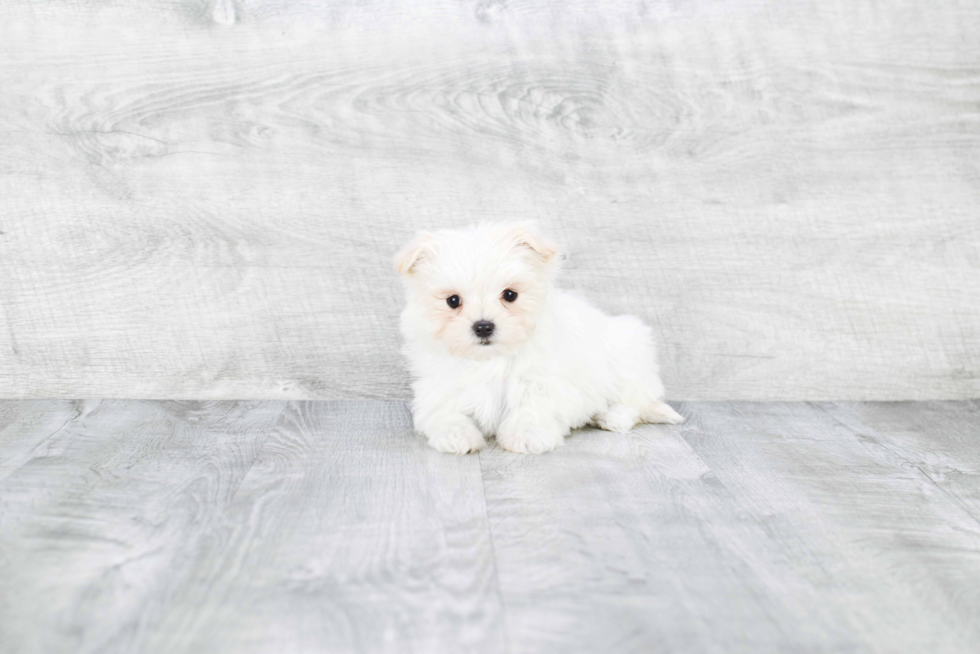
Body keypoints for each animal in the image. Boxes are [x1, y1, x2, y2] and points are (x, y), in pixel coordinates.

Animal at [390, 224, 680, 456]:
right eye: (453, 301)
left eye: (510, 295)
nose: (483, 326)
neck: (491, 359)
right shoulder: (440, 385)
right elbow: (445, 411)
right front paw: (456, 435)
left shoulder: (542, 381)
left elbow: (531, 407)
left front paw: (526, 436)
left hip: (628, 353)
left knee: (635, 401)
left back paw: (612, 416)